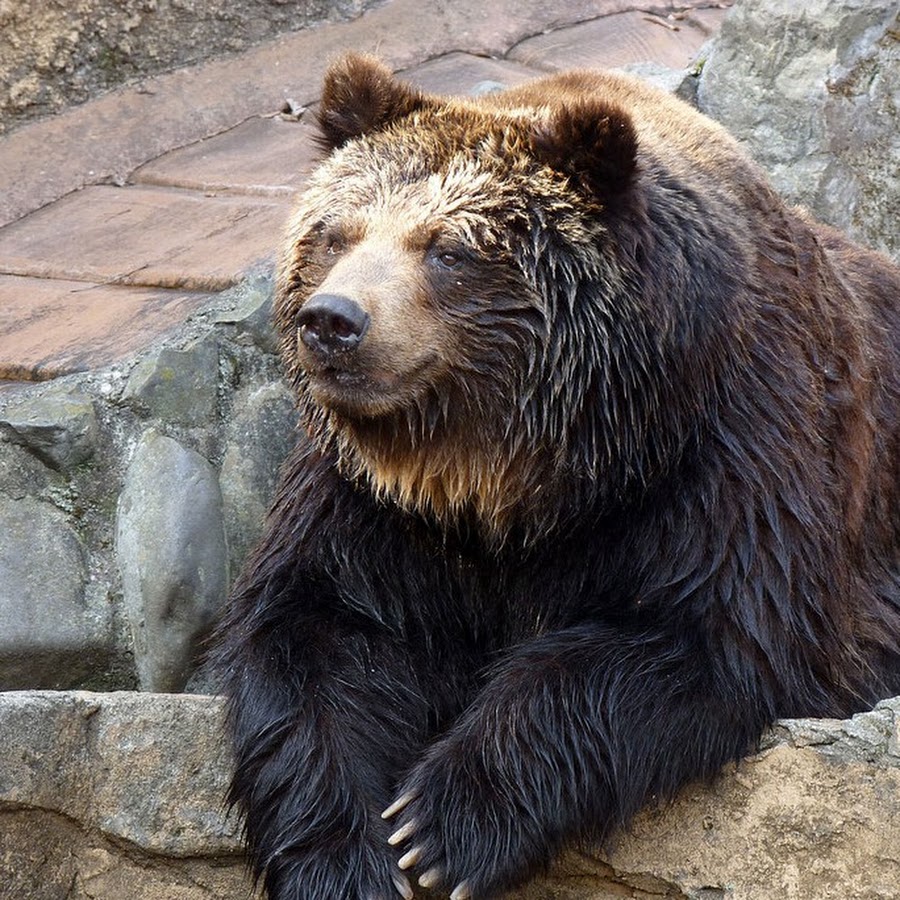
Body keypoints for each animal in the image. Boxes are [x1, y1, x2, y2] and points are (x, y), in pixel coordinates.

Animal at [213, 52, 900, 896]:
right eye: (336, 234)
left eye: (448, 249)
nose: (334, 320)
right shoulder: (372, 507)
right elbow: (311, 639)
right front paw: (345, 860)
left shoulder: (730, 456)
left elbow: (699, 640)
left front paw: (439, 826)